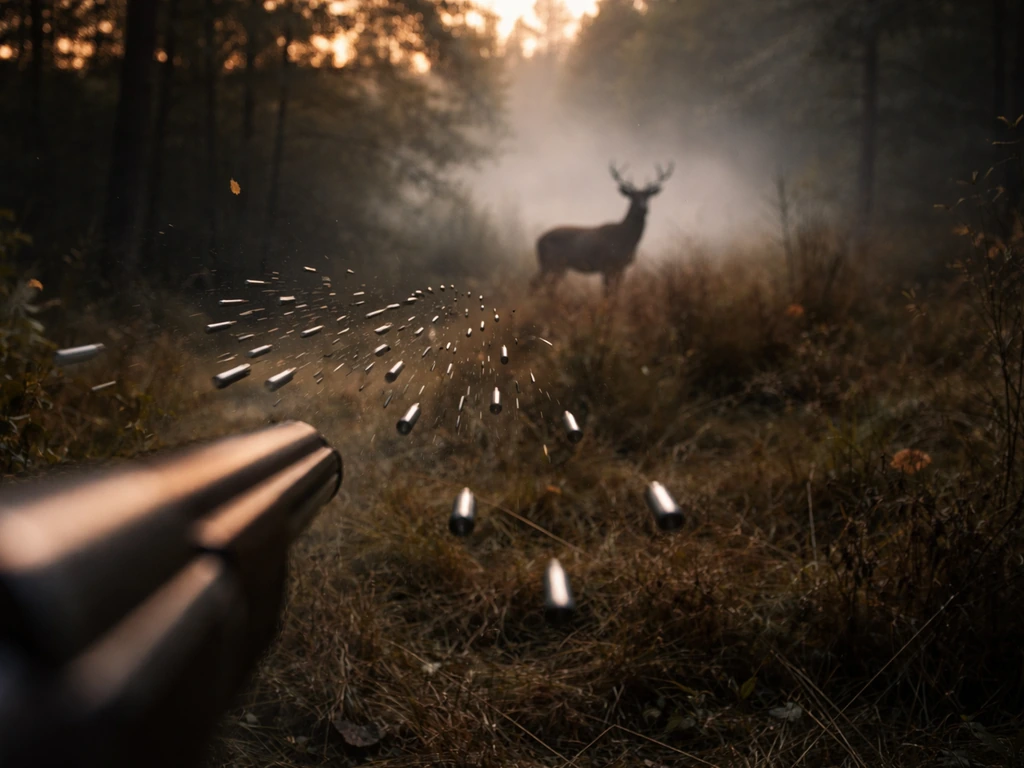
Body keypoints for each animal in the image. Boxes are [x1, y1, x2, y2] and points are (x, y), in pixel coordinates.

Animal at [531, 162, 674, 296]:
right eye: (632, 196)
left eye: (647, 196)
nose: (643, 208)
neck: (626, 240)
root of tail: (538, 240)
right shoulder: (606, 264)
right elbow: (607, 293)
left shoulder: (621, 267)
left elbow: (616, 292)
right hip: (550, 262)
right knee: (535, 283)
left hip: (560, 266)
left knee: (549, 286)